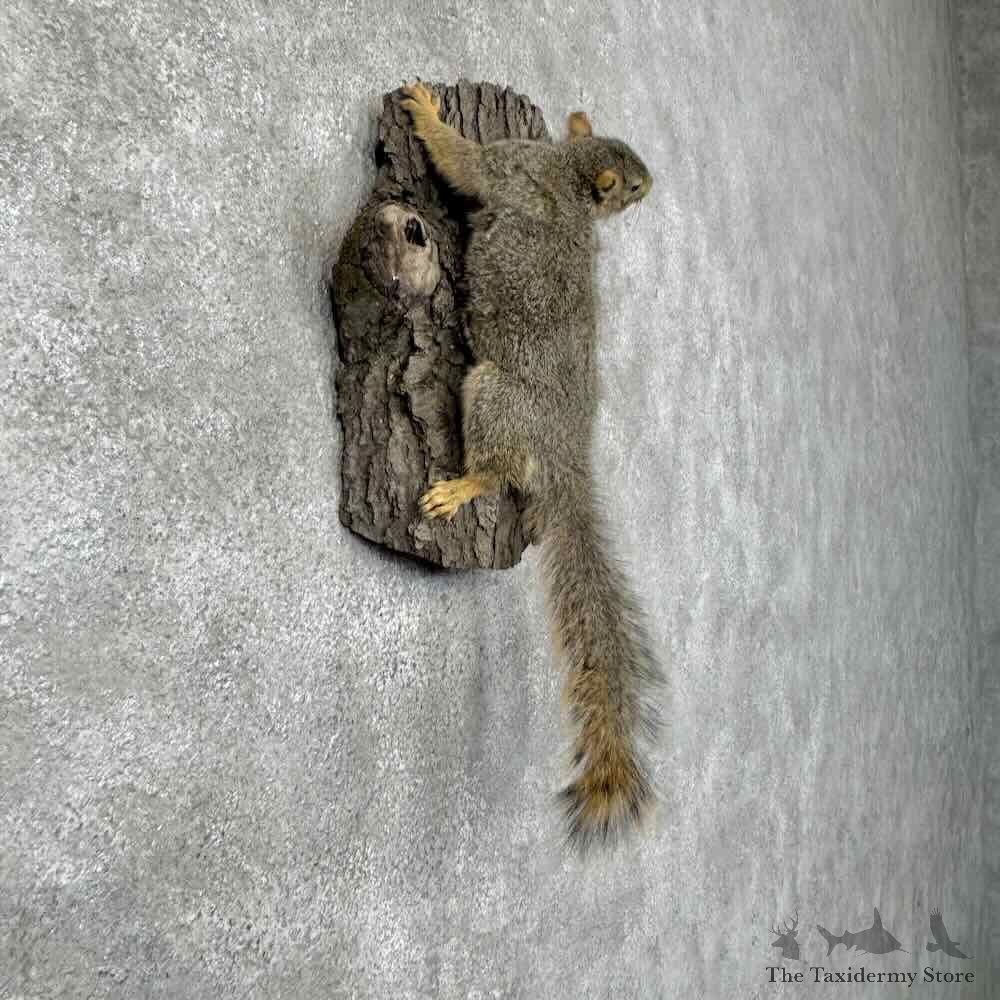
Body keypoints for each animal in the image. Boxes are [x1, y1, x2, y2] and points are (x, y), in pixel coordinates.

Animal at [400, 81, 664, 850]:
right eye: (632, 184)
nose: (652, 188)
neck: (569, 179)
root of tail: (565, 456)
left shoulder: (512, 169)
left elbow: (463, 163)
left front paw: (427, 113)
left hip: (495, 395)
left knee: (499, 466)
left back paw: (463, 486)